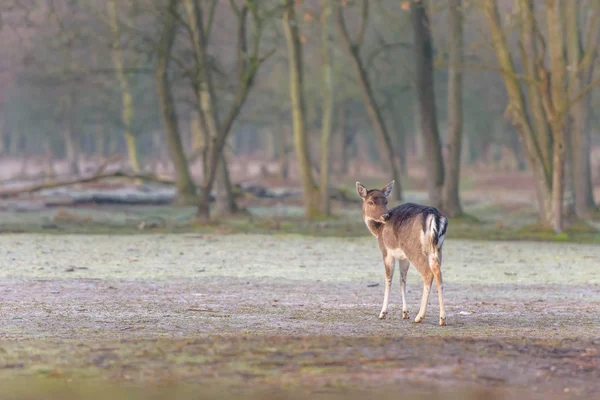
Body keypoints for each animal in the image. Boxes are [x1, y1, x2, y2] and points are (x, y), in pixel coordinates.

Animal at [354, 180, 448, 324]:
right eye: (371, 202)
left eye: (386, 201)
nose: (385, 216)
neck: (377, 231)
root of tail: (434, 215)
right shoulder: (403, 257)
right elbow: (402, 280)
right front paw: (405, 313)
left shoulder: (386, 251)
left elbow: (388, 278)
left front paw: (382, 313)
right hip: (437, 248)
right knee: (438, 273)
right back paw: (442, 319)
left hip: (413, 249)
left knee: (427, 273)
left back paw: (419, 316)